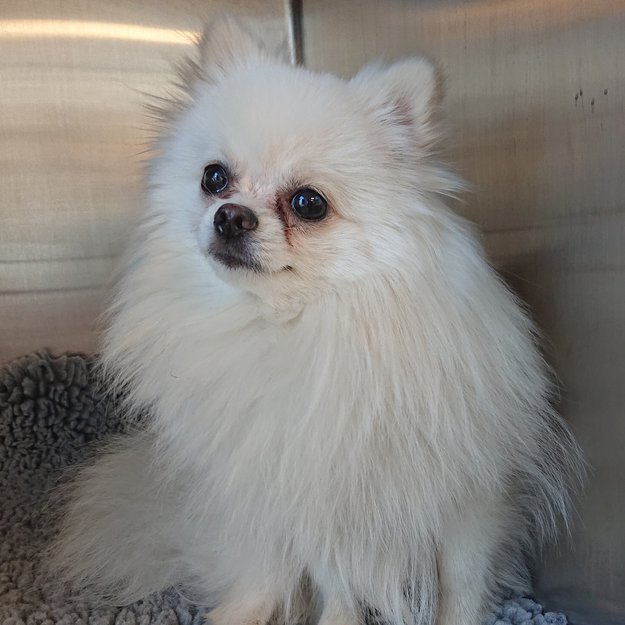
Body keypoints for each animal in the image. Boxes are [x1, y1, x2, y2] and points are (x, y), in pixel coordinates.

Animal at [49, 16, 584, 625]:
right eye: (214, 178)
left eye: (308, 203)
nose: (230, 216)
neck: (289, 325)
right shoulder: (313, 499)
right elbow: (337, 584)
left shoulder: (470, 501)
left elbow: (461, 583)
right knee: (265, 576)